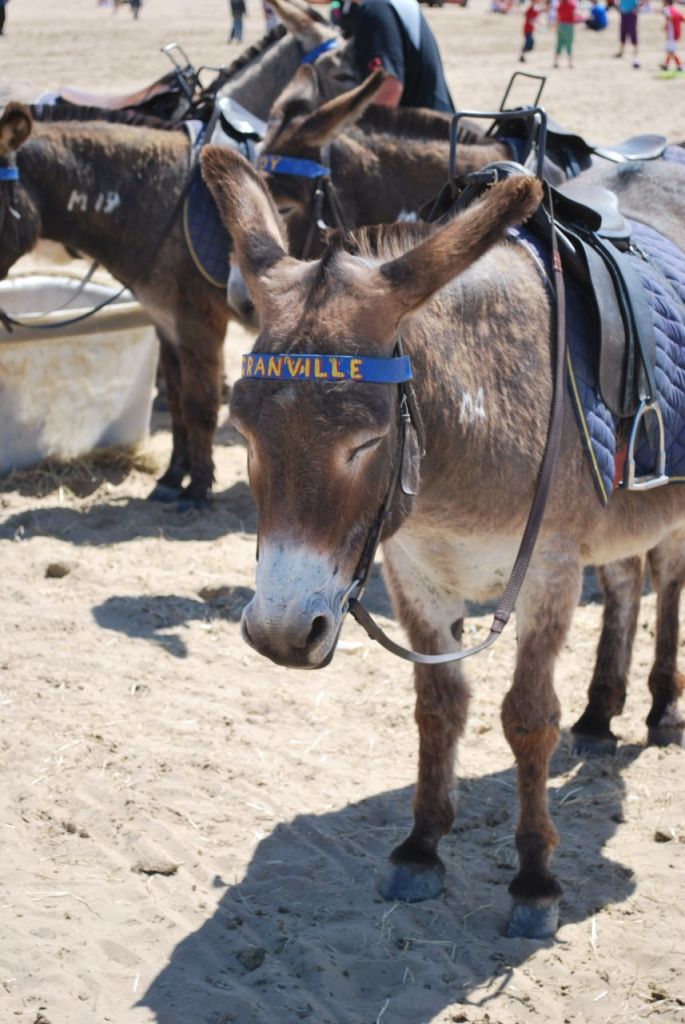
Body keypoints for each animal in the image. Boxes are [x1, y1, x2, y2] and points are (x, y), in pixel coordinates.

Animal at [199, 143, 685, 938]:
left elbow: (526, 717)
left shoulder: (549, 569)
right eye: (240, 430)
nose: (279, 636)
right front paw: (421, 846)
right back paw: (598, 714)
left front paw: (533, 879)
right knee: (622, 580)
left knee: (666, 576)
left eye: (366, 441)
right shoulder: (413, 570)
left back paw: (661, 709)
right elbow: (437, 704)